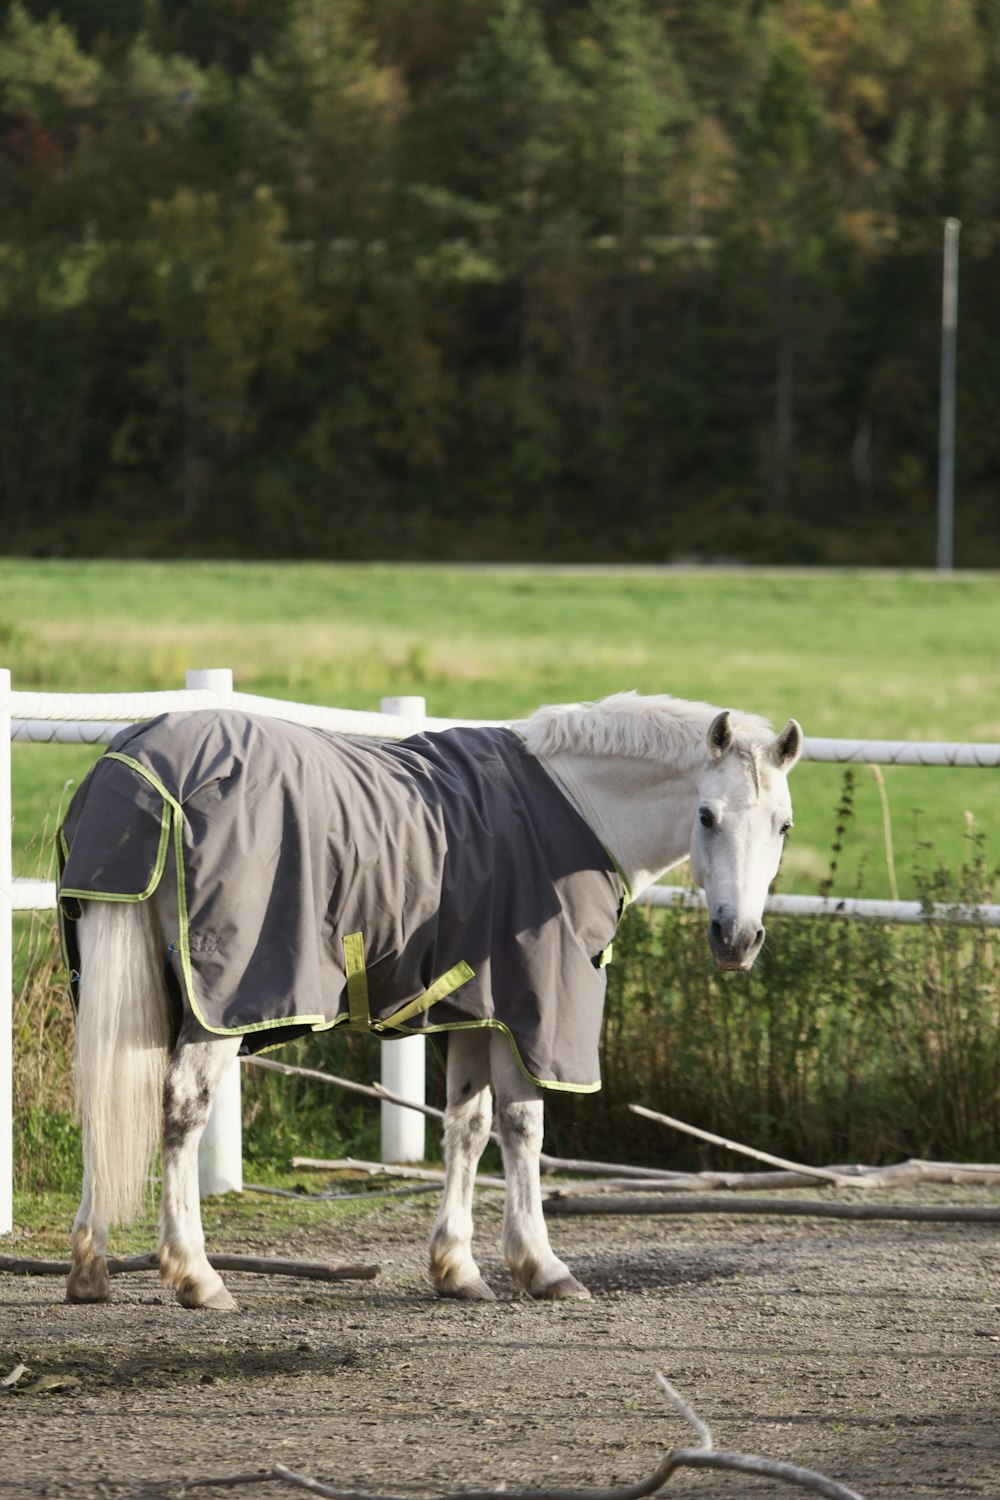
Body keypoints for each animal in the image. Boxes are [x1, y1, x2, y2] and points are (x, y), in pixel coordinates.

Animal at [62, 693, 803, 1314]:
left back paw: (89, 1270)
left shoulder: (479, 1008)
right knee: (182, 1109)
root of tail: (138, 764)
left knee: (101, 1096)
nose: (737, 939)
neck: (576, 808)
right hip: (220, 1002)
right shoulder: (532, 1011)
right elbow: (523, 1127)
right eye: (707, 815)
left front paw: (457, 1269)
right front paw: (542, 1266)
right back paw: (196, 1275)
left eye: (784, 826)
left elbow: (467, 1128)